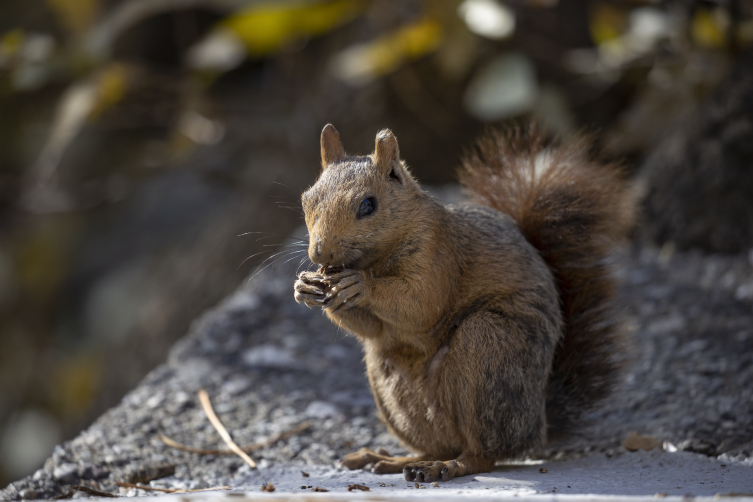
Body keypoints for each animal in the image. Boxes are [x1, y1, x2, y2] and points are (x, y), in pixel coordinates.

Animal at [294, 122, 636, 482]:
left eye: (368, 205)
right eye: (307, 199)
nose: (320, 253)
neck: (377, 258)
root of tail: (536, 427)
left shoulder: (439, 254)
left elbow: (421, 304)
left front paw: (360, 284)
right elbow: (372, 330)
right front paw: (305, 288)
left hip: (487, 348)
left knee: (483, 454)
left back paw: (449, 466)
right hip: (389, 386)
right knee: (436, 444)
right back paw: (395, 460)